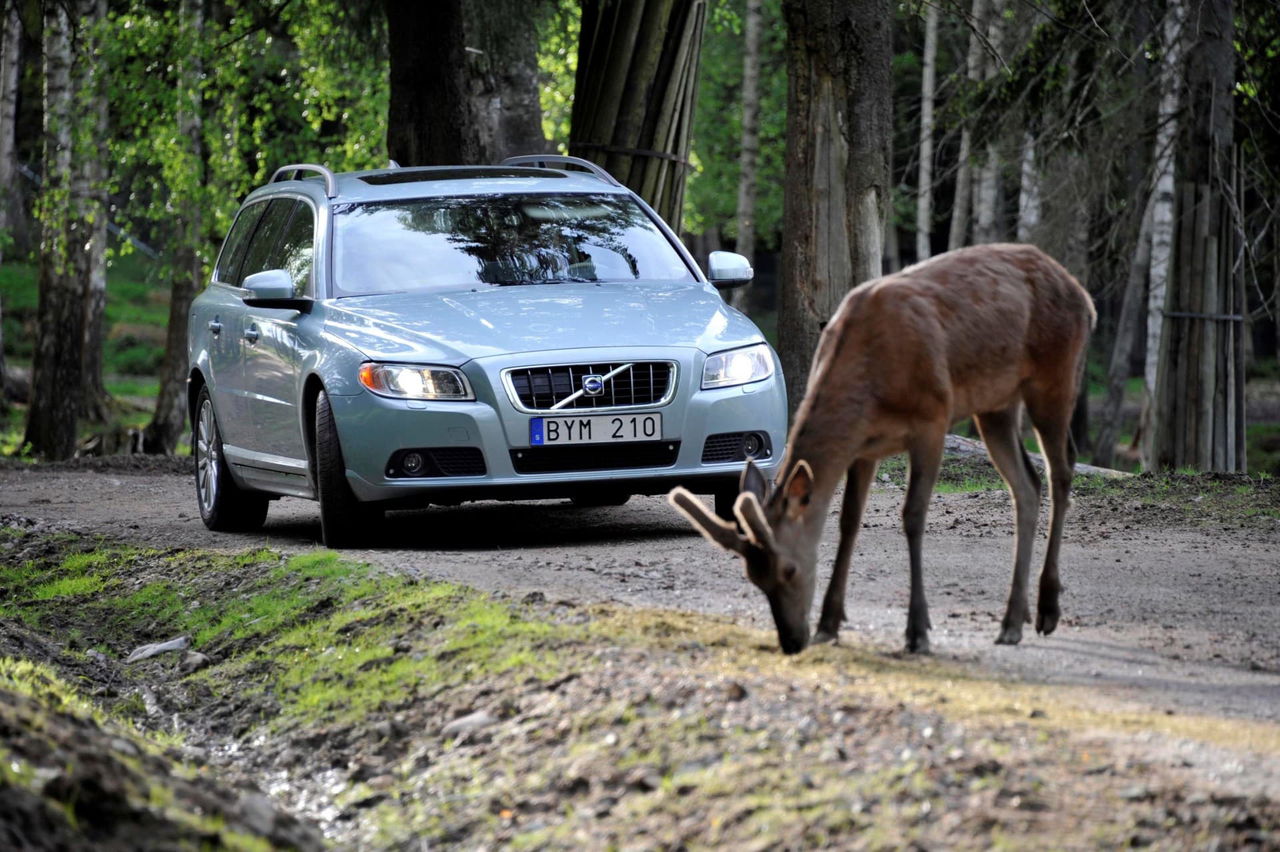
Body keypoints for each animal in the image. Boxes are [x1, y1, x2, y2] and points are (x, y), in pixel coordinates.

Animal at [665, 241, 1095, 652]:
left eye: (789, 569)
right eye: (753, 577)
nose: (791, 641)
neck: (873, 381)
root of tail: (1084, 296)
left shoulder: (933, 418)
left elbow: (913, 516)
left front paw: (917, 631)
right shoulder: (865, 444)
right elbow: (848, 521)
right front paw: (829, 624)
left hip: (1055, 374)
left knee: (1061, 471)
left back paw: (1047, 610)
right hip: (995, 405)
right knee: (1026, 486)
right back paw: (1012, 622)